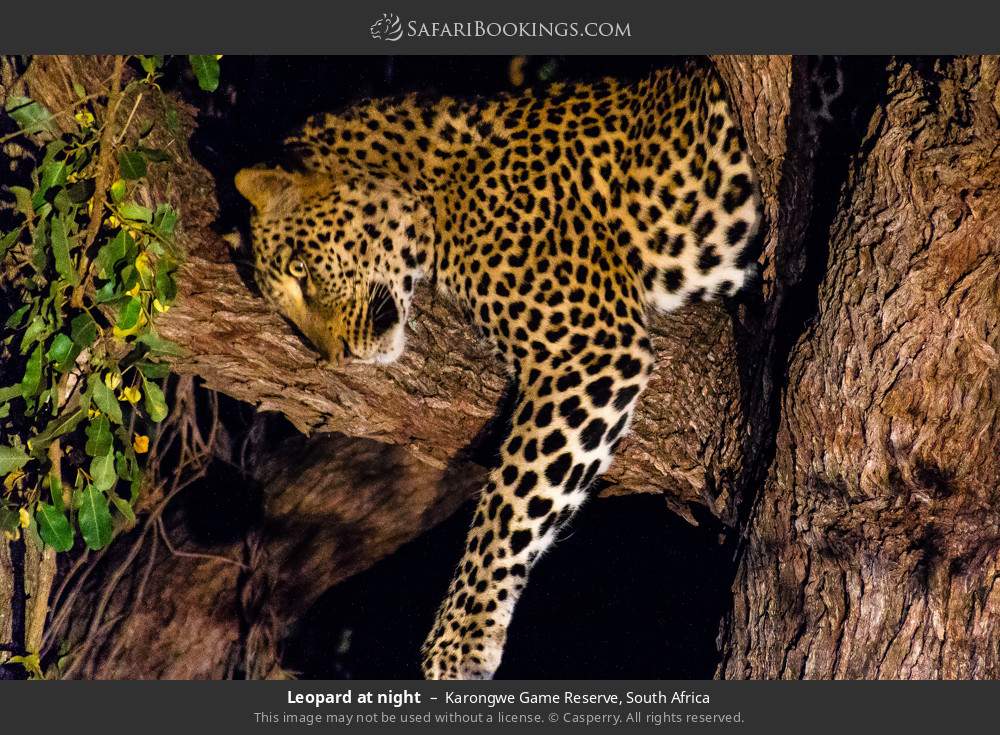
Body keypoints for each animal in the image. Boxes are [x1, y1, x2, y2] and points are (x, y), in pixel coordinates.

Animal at [234, 61, 762, 680]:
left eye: (300, 269)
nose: (335, 356)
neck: (436, 185)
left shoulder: (589, 347)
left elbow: (512, 500)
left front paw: (458, 641)